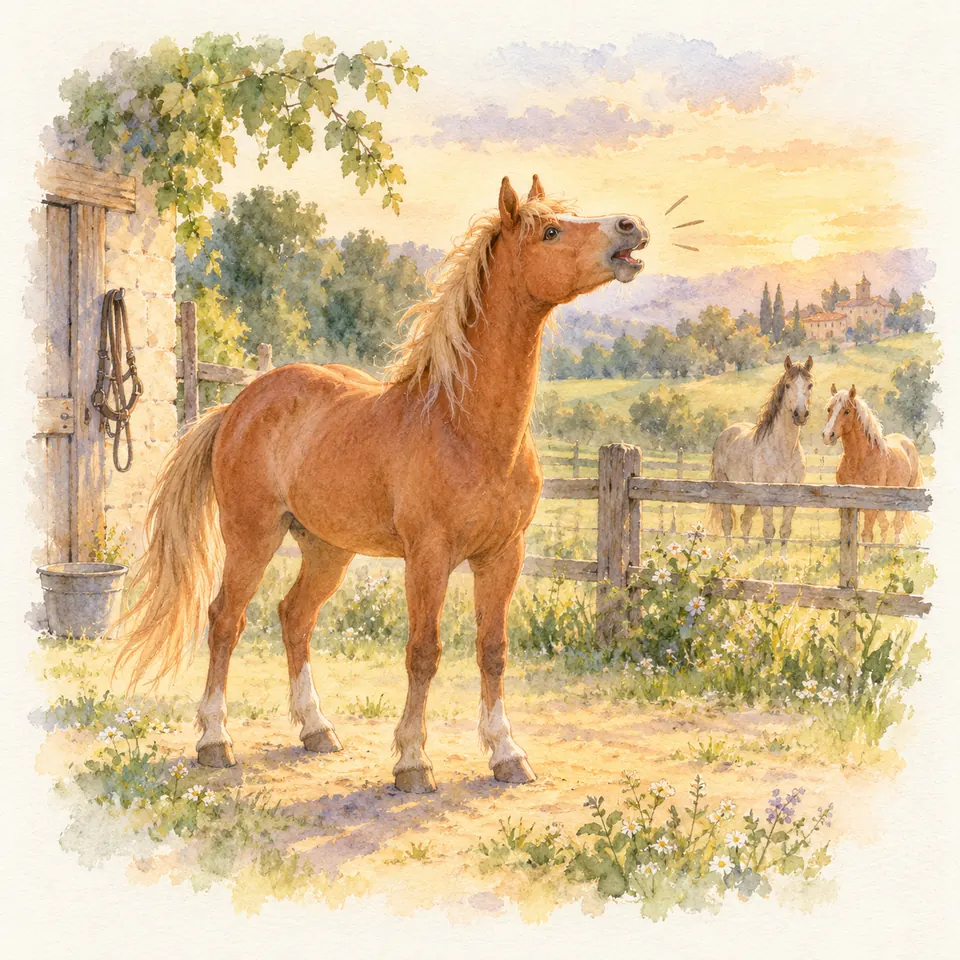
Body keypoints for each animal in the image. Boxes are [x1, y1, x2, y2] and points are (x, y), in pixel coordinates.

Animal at [115, 175, 650, 794]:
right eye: (551, 232)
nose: (631, 227)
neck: (464, 425)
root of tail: (239, 405)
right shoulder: (429, 557)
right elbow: (423, 653)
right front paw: (413, 762)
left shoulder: (502, 556)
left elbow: (492, 651)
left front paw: (505, 754)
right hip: (252, 537)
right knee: (227, 619)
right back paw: (214, 741)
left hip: (327, 549)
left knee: (294, 617)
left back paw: (316, 730)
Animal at [707, 355, 814, 554]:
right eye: (788, 385)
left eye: (810, 385)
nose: (801, 414)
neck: (784, 450)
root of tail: (726, 433)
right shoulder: (766, 494)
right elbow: (769, 530)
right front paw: (768, 558)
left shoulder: (792, 494)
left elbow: (785, 530)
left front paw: (782, 558)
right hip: (725, 488)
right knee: (727, 522)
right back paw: (729, 552)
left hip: (750, 496)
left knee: (745, 520)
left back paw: (747, 549)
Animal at [821, 384, 923, 543]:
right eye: (829, 409)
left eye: (847, 411)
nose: (827, 435)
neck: (859, 460)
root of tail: (907, 441)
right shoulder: (846, 504)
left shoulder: (870, 506)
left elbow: (867, 535)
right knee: (885, 525)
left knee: (897, 525)